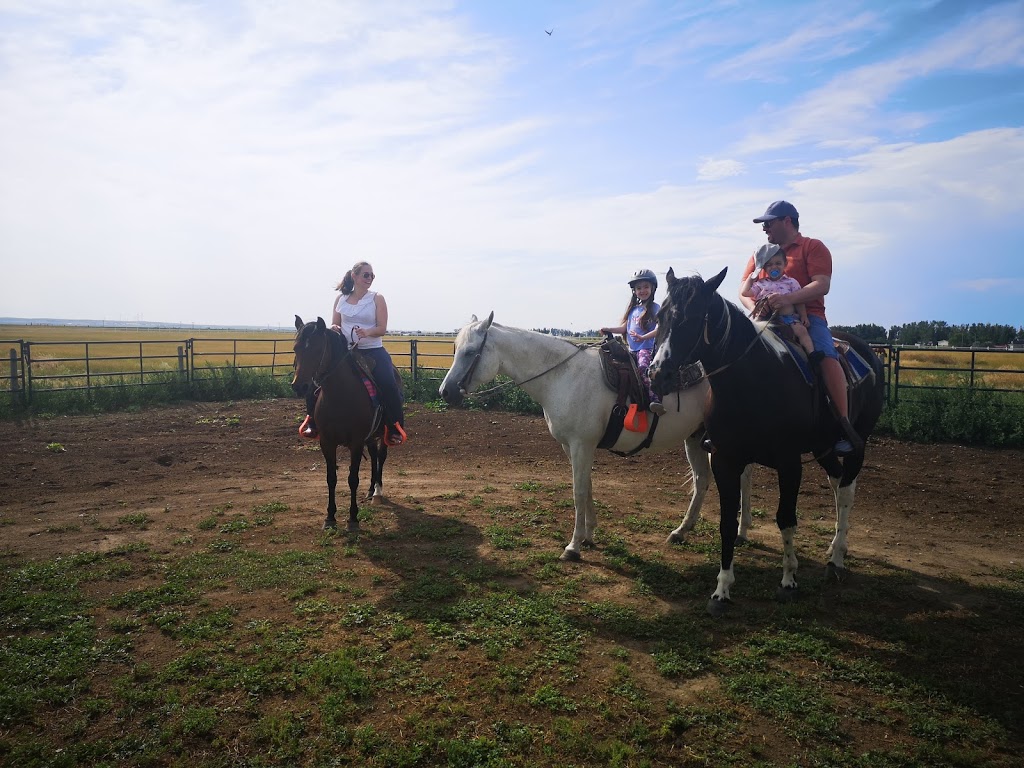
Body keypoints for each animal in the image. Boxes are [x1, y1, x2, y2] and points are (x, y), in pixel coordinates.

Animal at [291, 315, 394, 531]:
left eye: (316, 349)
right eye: (296, 348)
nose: (299, 386)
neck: (340, 395)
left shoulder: (356, 442)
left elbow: (352, 479)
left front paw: (353, 519)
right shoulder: (327, 442)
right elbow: (331, 478)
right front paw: (330, 517)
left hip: (383, 433)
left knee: (381, 456)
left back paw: (377, 492)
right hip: (370, 436)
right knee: (373, 456)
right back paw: (370, 490)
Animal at [438, 312, 752, 561]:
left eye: (470, 352)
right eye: (455, 348)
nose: (446, 392)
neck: (564, 376)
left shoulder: (581, 445)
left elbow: (578, 491)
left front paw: (573, 546)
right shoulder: (572, 446)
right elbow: (587, 486)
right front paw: (589, 535)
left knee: (742, 479)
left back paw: (741, 531)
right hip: (695, 438)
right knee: (701, 481)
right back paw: (681, 531)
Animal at [649, 268, 885, 616]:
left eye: (691, 318)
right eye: (661, 316)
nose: (657, 374)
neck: (752, 380)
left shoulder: (789, 463)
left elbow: (785, 519)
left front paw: (788, 581)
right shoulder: (726, 460)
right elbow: (726, 523)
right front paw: (721, 590)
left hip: (858, 442)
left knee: (846, 491)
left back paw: (837, 557)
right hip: (823, 446)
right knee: (837, 480)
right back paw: (833, 550)